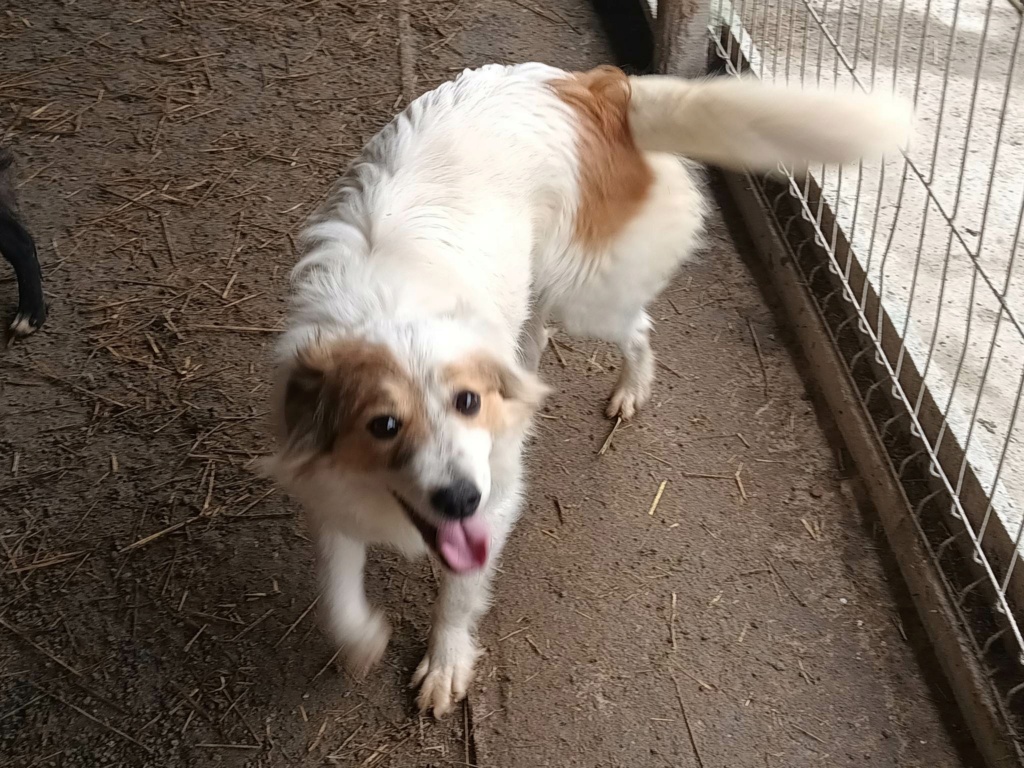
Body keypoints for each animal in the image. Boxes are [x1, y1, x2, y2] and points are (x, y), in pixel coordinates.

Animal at [262, 63, 905, 720]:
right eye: (383, 425)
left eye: (467, 403)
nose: (461, 499)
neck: (392, 308)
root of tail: (587, 86)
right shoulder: (326, 485)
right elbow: (337, 594)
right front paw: (363, 640)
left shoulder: (493, 498)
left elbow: (458, 597)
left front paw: (445, 663)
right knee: (538, 338)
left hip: (584, 299)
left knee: (638, 329)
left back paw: (631, 390)